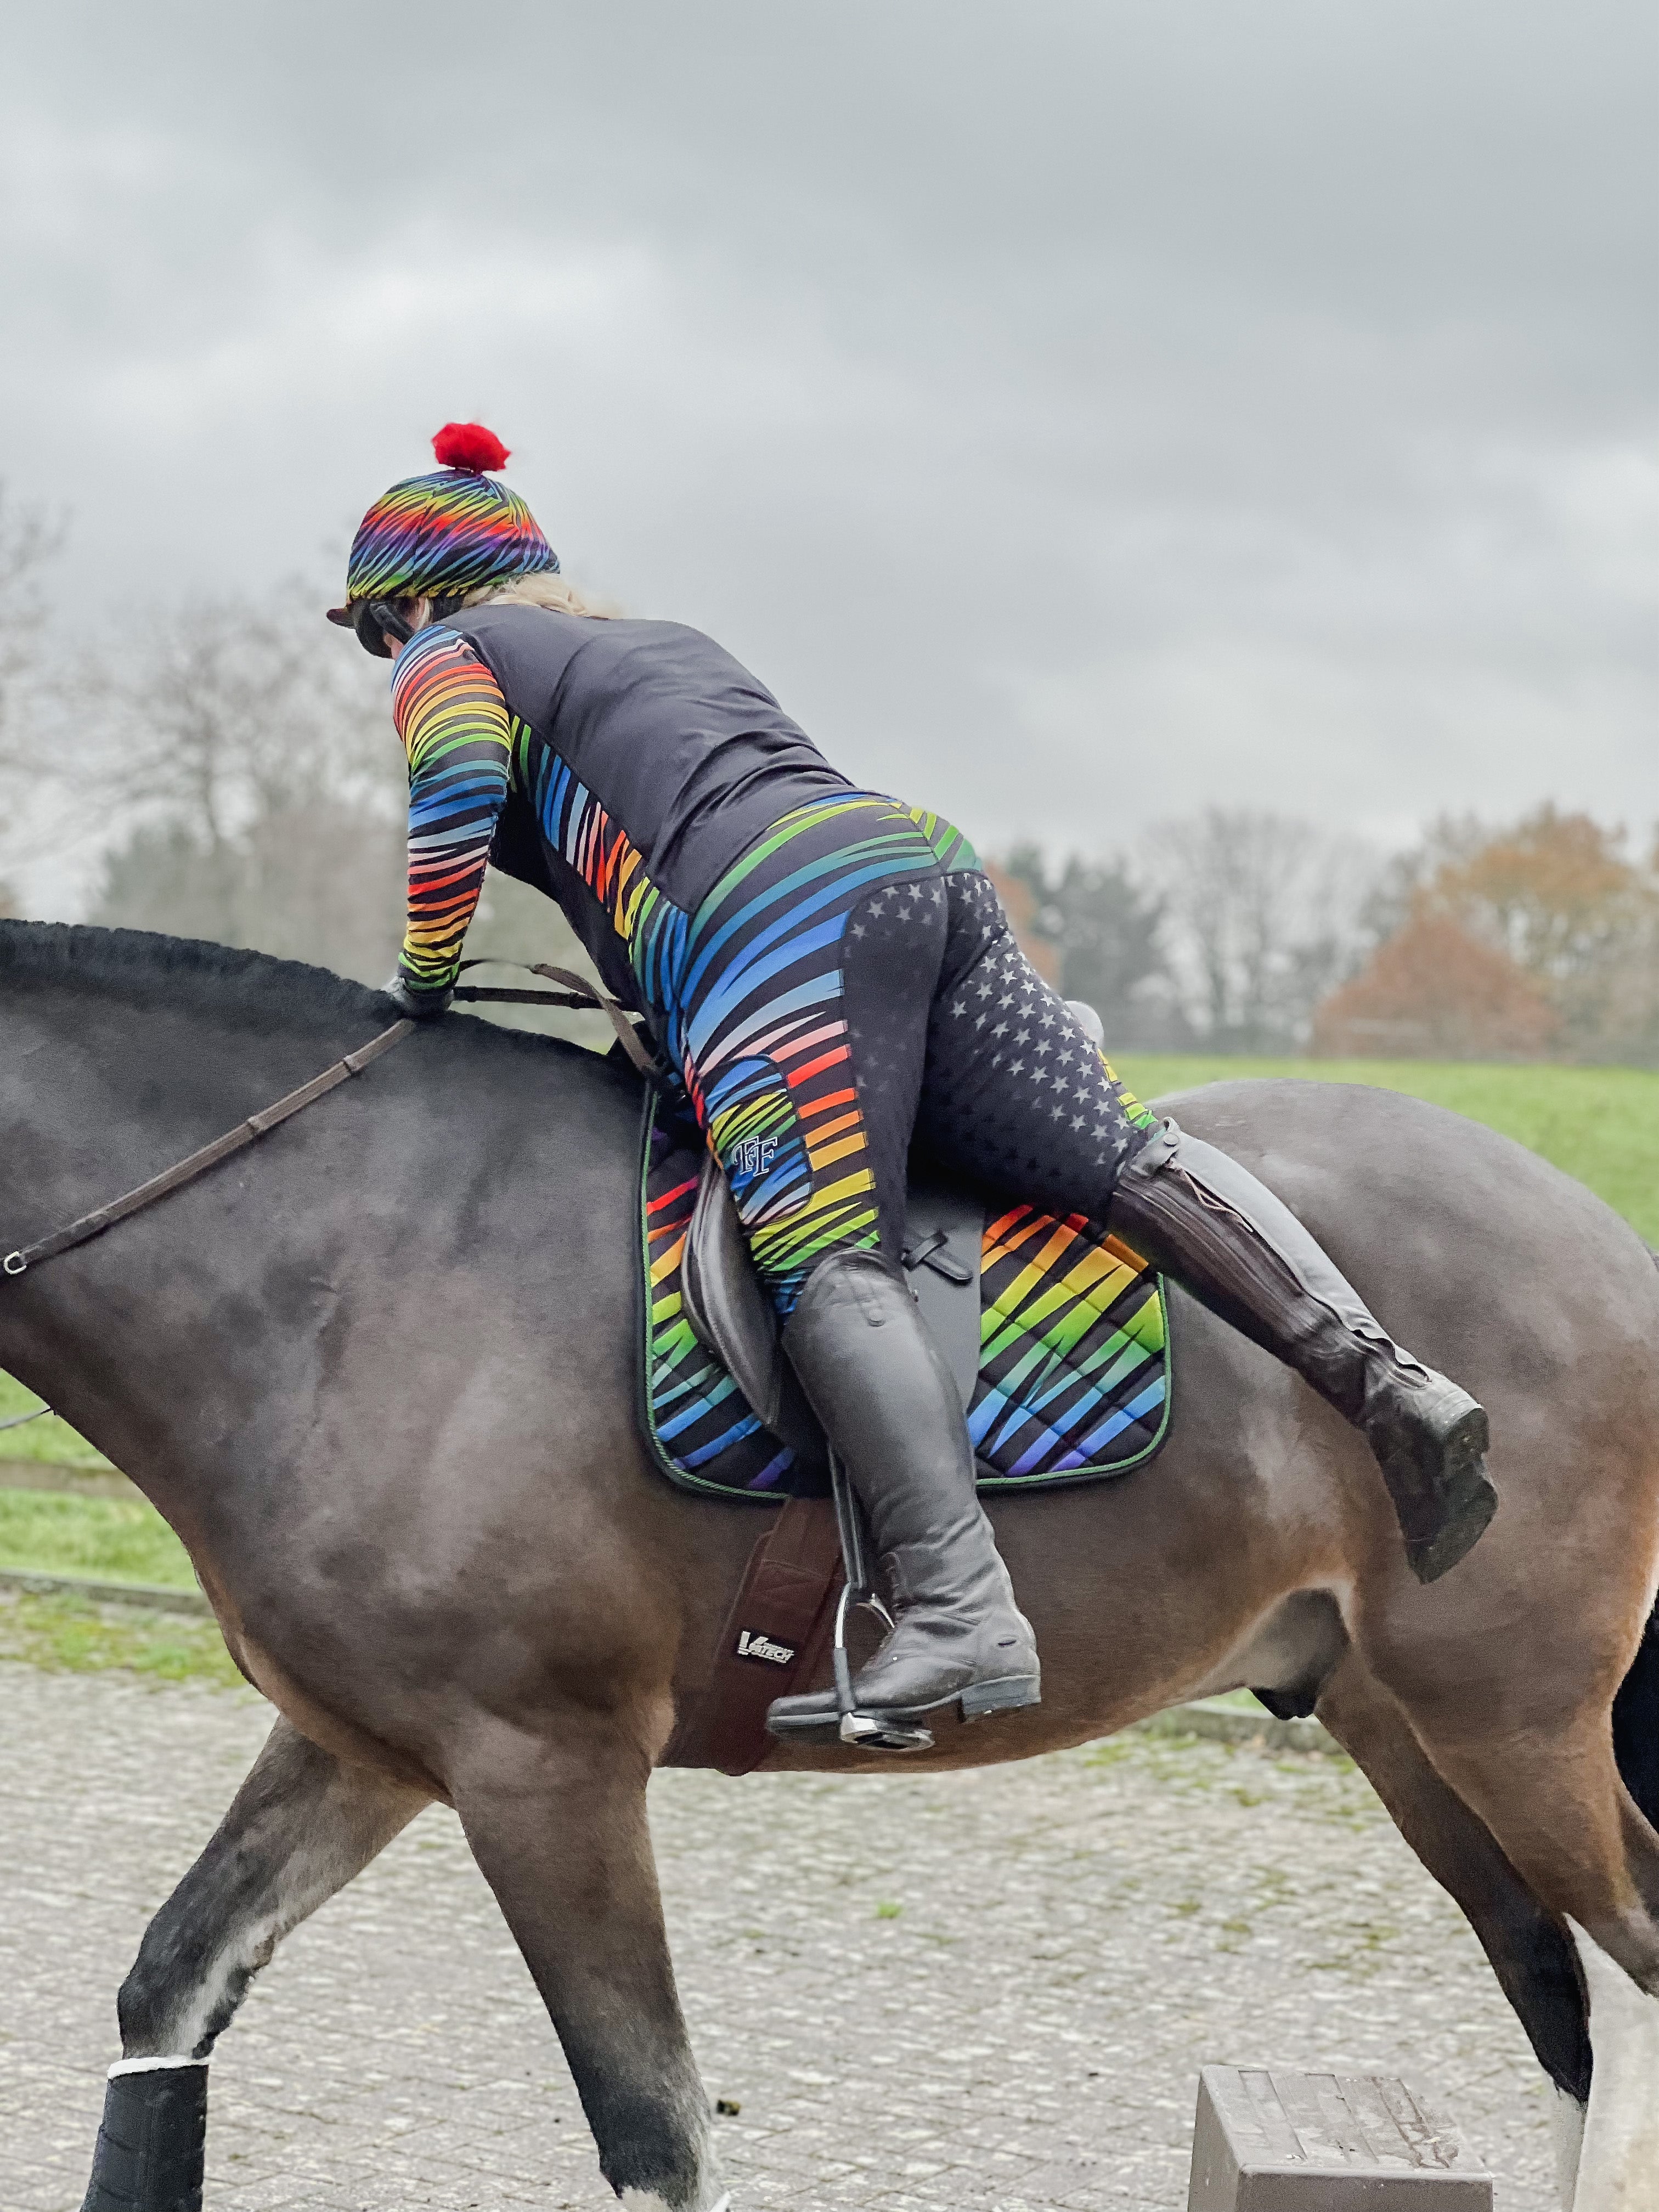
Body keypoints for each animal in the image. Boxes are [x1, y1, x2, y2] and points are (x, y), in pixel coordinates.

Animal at [3, 920, 1659, 2212]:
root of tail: (1604, 1239)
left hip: (1510, 1720)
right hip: (1406, 1727)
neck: (355, 1264)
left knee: (1634, 1972)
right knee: (1560, 1996)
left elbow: (658, 2137)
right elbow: (171, 1988)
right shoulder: (367, 1750)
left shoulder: (547, 1770)